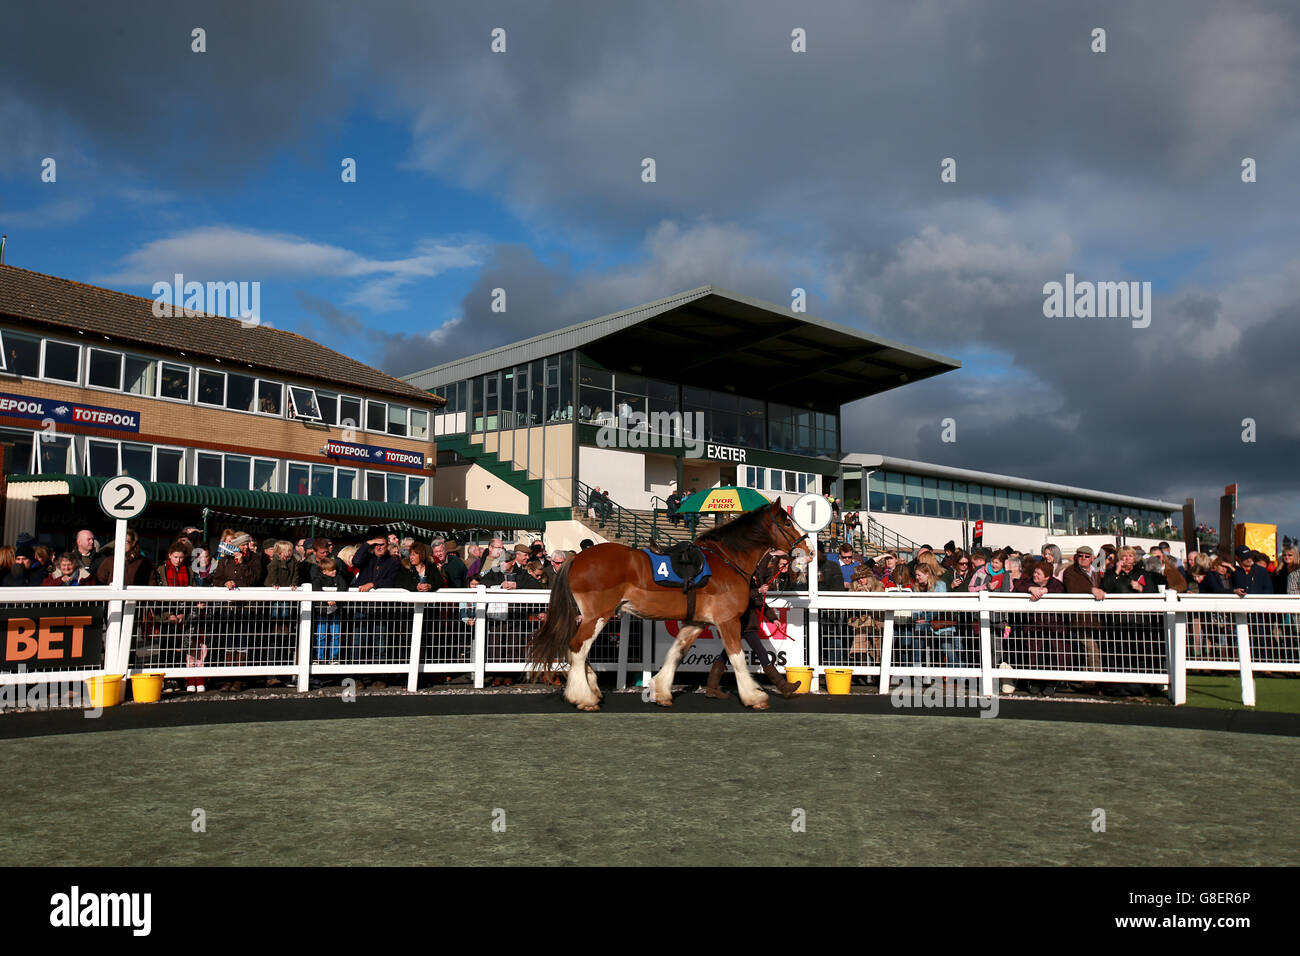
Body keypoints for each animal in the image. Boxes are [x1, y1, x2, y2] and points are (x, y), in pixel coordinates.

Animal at [528, 499, 808, 711]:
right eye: (786, 522)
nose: (806, 548)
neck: (726, 561)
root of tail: (577, 559)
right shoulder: (728, 621)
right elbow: (737, 658)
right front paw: (754, 696)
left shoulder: (697, 622)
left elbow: (676, 653)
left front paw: (661, 691)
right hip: (597, 615)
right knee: (577, 649)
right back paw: (584, 697)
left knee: (578, 650)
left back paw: (592, 689)